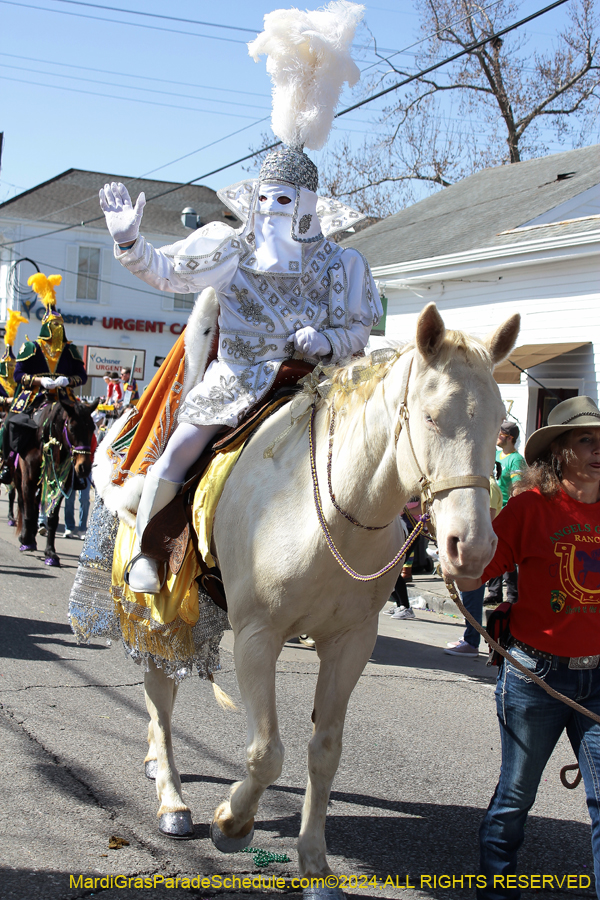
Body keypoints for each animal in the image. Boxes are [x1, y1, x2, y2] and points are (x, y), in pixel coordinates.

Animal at [15, 400, 99, 568]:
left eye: (92, 428)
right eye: (72, 428)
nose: (84, 468)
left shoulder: (61, 485)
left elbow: (52, 519)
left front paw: (51, 553)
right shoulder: (28, 480)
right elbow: (27, 510)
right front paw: (26, 539)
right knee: (22, 502)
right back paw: (27, 537)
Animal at [142, 304, 520, 892]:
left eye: (500, 418)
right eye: (432, 417)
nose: (473, 548)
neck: (328, 514)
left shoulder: (351, 643)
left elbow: (324, 753)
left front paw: (315, 863)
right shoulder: (258, 636)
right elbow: (266, 752)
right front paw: (231, 822)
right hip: (166, 608)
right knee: (160, 695)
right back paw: (172, 800)